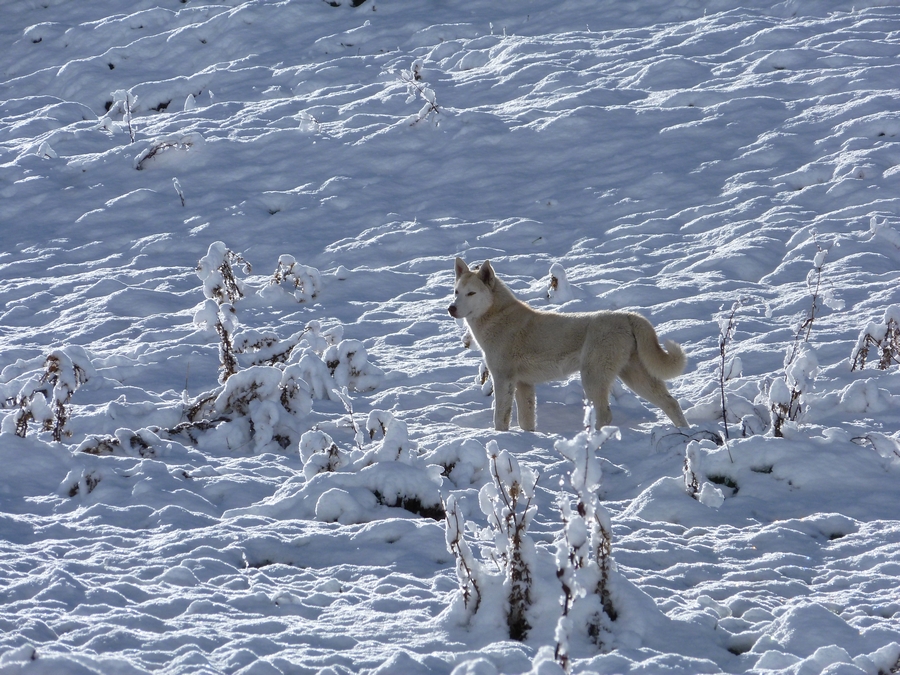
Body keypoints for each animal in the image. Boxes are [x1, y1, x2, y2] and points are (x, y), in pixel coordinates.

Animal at [448, 258, 689, 431]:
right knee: (671, 403)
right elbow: (527, 421)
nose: (451, 308)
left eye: (471, 293)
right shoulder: (524, 385)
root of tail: (628, 316)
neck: (497, 318)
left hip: (593, 377)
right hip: (634, 375)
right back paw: (686, 433)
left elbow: (500, 419)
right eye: (456, 292)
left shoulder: (503, 379)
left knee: (605, 414)